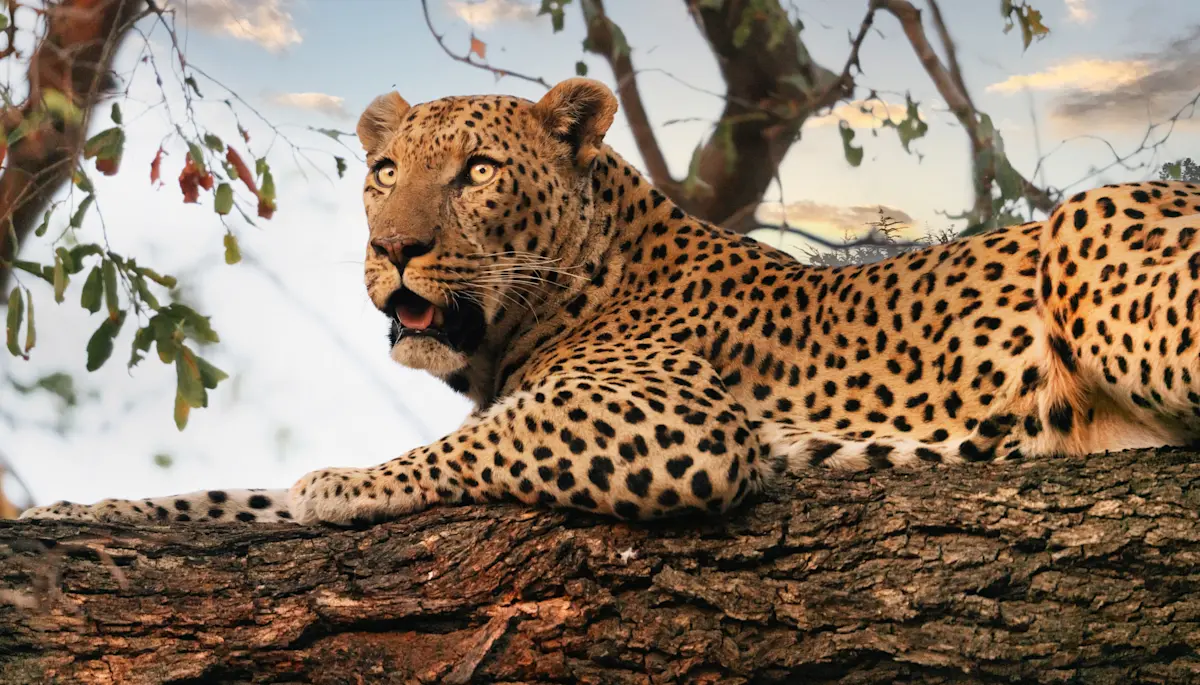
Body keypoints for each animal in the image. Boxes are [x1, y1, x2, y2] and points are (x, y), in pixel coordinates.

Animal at [20, 77, 1200, 527]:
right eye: (384, 170)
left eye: (476, 172)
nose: (392, 248)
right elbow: (230, 498)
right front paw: (75, 512)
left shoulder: (680, 419)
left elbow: (469, 444)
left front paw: (342, 482)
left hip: (1090, 236)